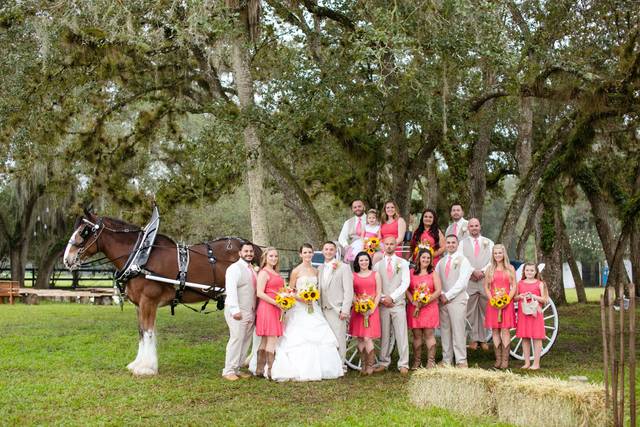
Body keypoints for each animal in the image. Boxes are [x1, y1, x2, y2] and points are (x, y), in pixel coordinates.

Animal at [63, 209, 262, 376]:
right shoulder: (139, 305)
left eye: (84, 231)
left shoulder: (148, 301)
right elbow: (141, 332)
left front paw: (146, 368)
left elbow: (148, 332)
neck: (141, 259)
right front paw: (137, 364)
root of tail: (253, 246)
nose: (67, 259)